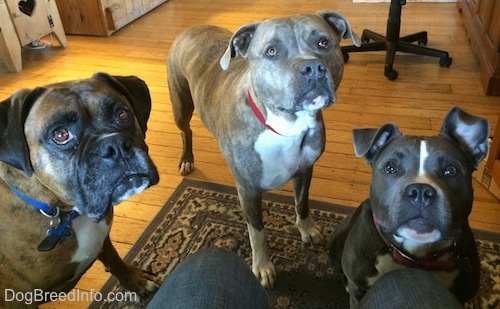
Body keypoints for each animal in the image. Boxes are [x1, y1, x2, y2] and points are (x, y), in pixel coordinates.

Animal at [0, 72, 159, 306]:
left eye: (122, 114)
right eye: (60, 135)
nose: (115, 146)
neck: (66, 214)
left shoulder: (103, 241)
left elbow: (115, 261)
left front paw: (135, 280)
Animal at [167, 11, 360, 286]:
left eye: (323, 43)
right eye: (271, 51)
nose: (312, 67)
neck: (287, 126)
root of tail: (193, 28)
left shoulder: (305, 171)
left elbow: (302, 204)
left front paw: (308, 230)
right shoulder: (247, 190)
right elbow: (257, 230)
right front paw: (263, 267)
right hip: (181, 105)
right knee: (186, 131)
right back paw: (186, 158)